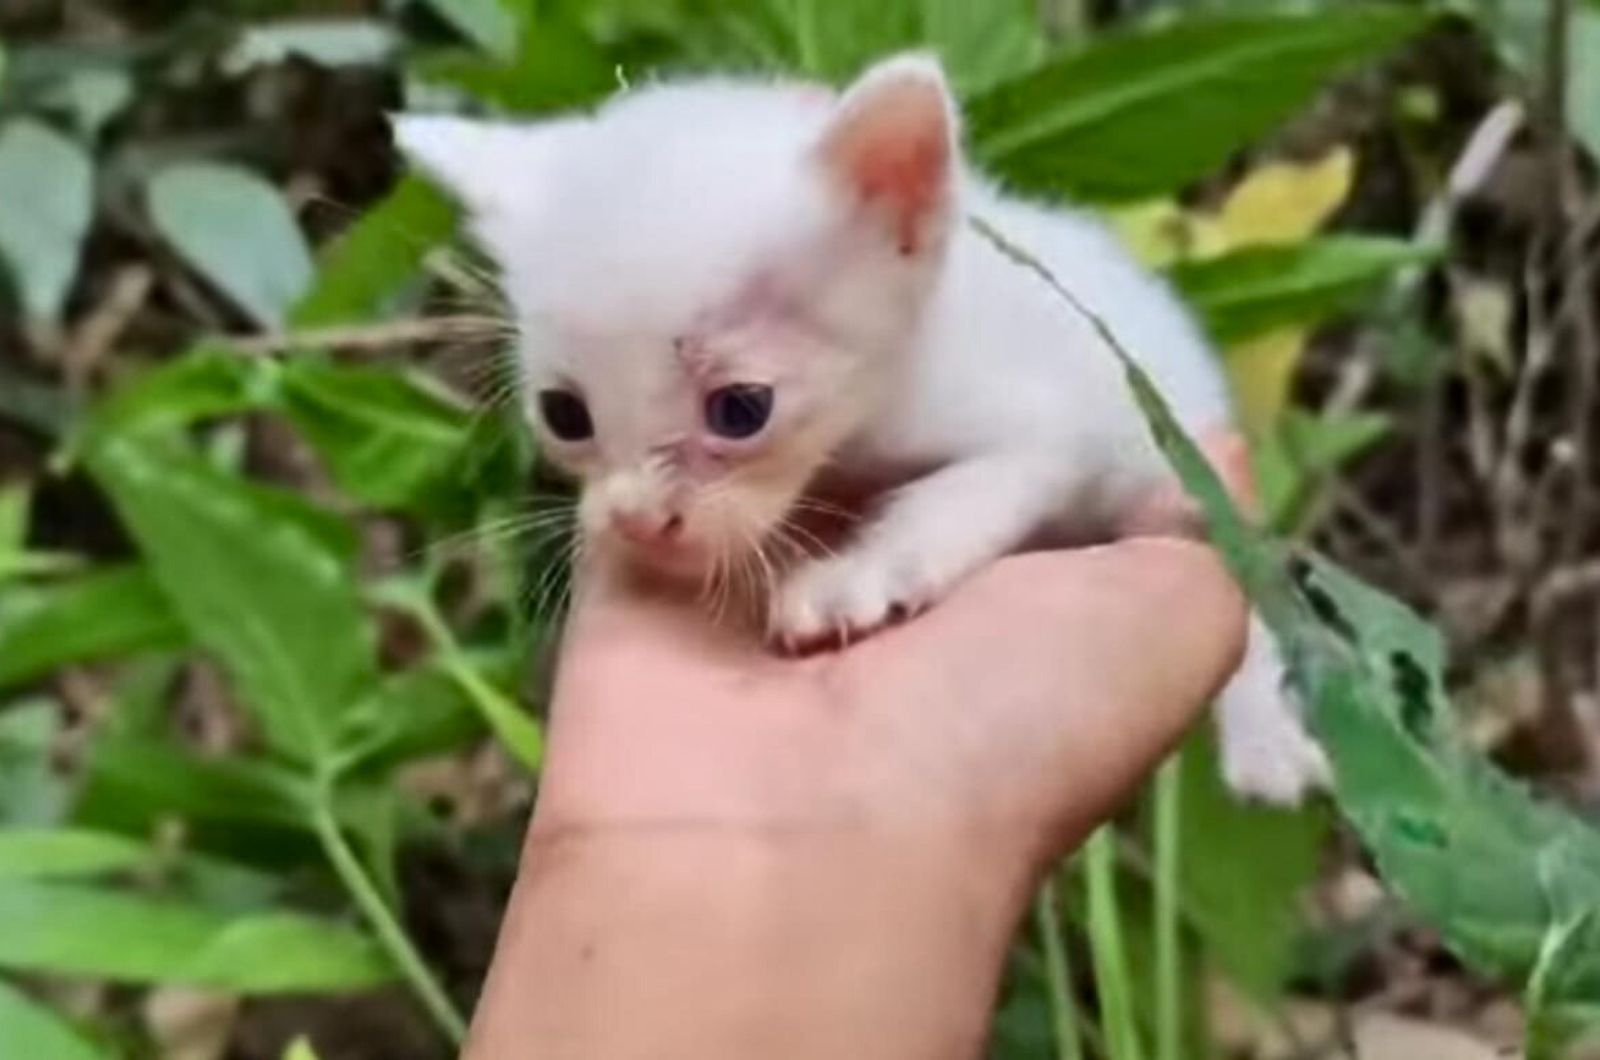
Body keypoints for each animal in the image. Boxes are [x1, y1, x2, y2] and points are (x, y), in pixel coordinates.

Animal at [393, 47, 1331, 797]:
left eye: (742, 409)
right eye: (564, 414)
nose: (638, 522)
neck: (865, 422)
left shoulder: (1041, 430)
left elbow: (953, 499)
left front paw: (858, 575)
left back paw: (1265, 735)